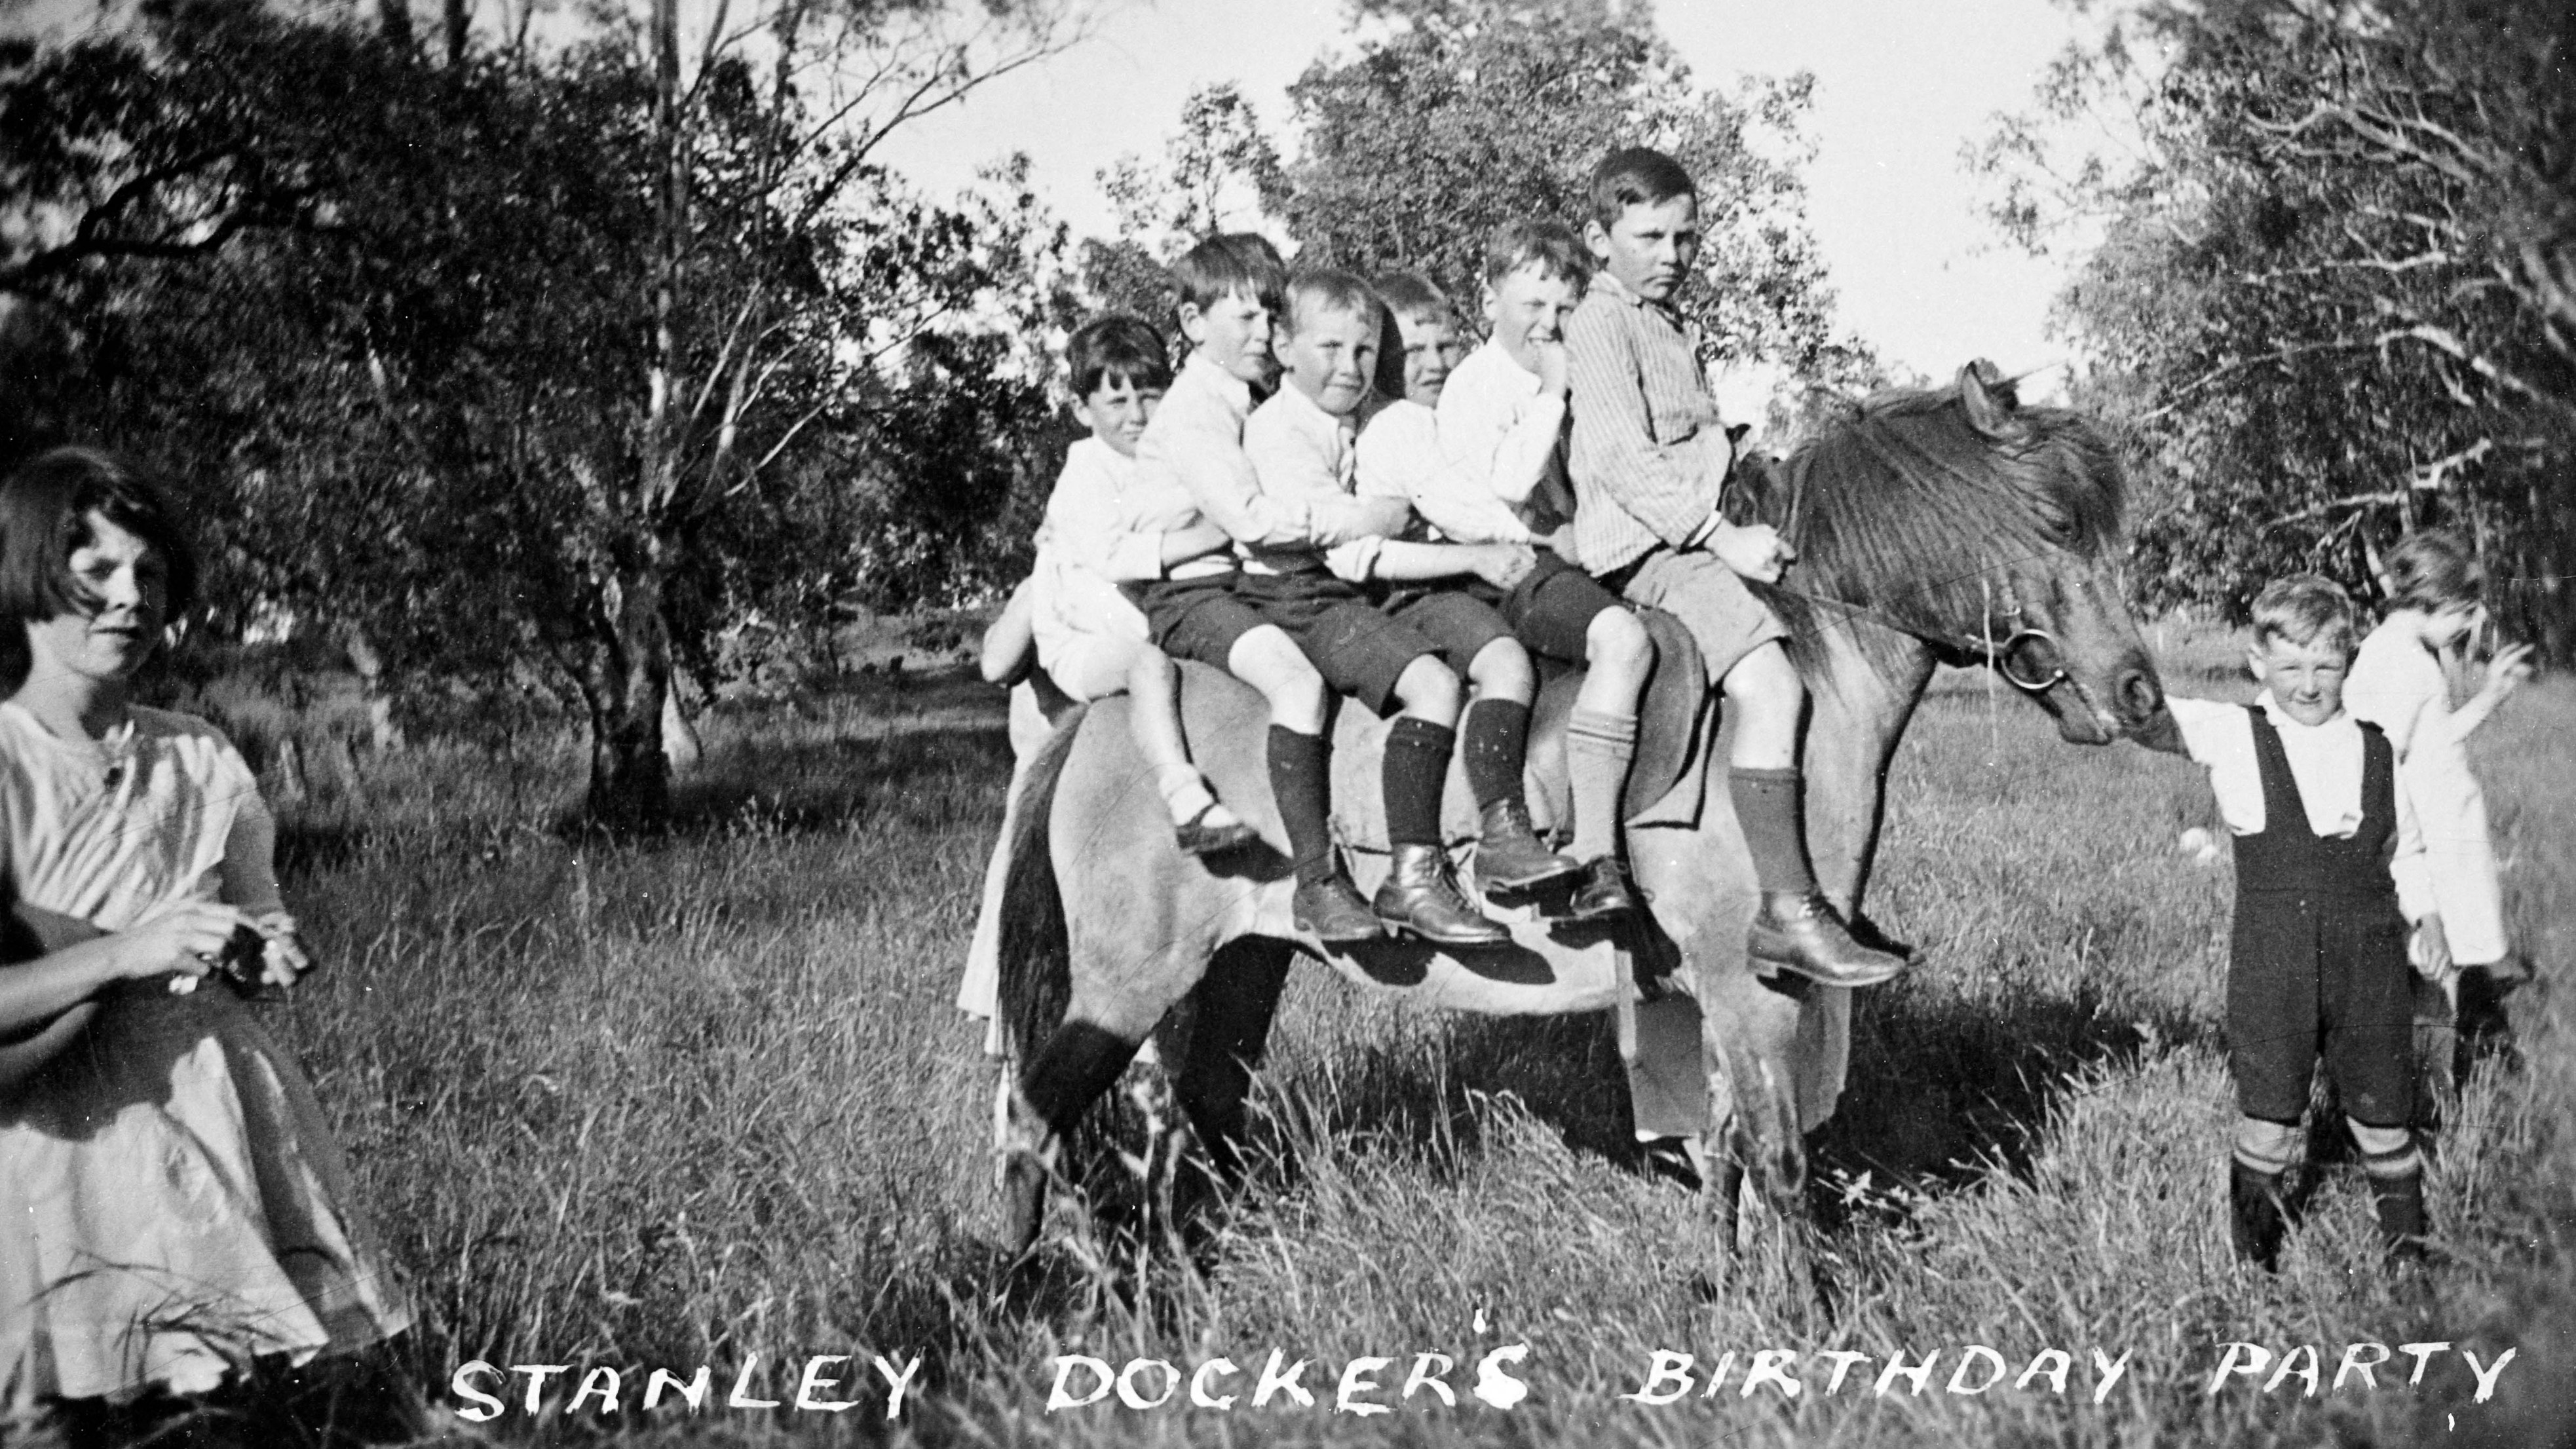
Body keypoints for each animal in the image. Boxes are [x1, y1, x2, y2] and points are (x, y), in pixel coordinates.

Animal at [985, 362, 2179, 1270]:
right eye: (2055, 519)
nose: (2140, 698)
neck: (1796, 686)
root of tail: (1102, 709)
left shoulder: (1717, 988)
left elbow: (1726, 1151)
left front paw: (1731, 1291)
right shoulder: (1754, 979)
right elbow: (1779, 1158)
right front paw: (1801, 1323)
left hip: (1238, 970)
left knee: (1178, 1127)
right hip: (1129, 983)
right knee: (1040, 1123)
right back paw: (1048, 1295)